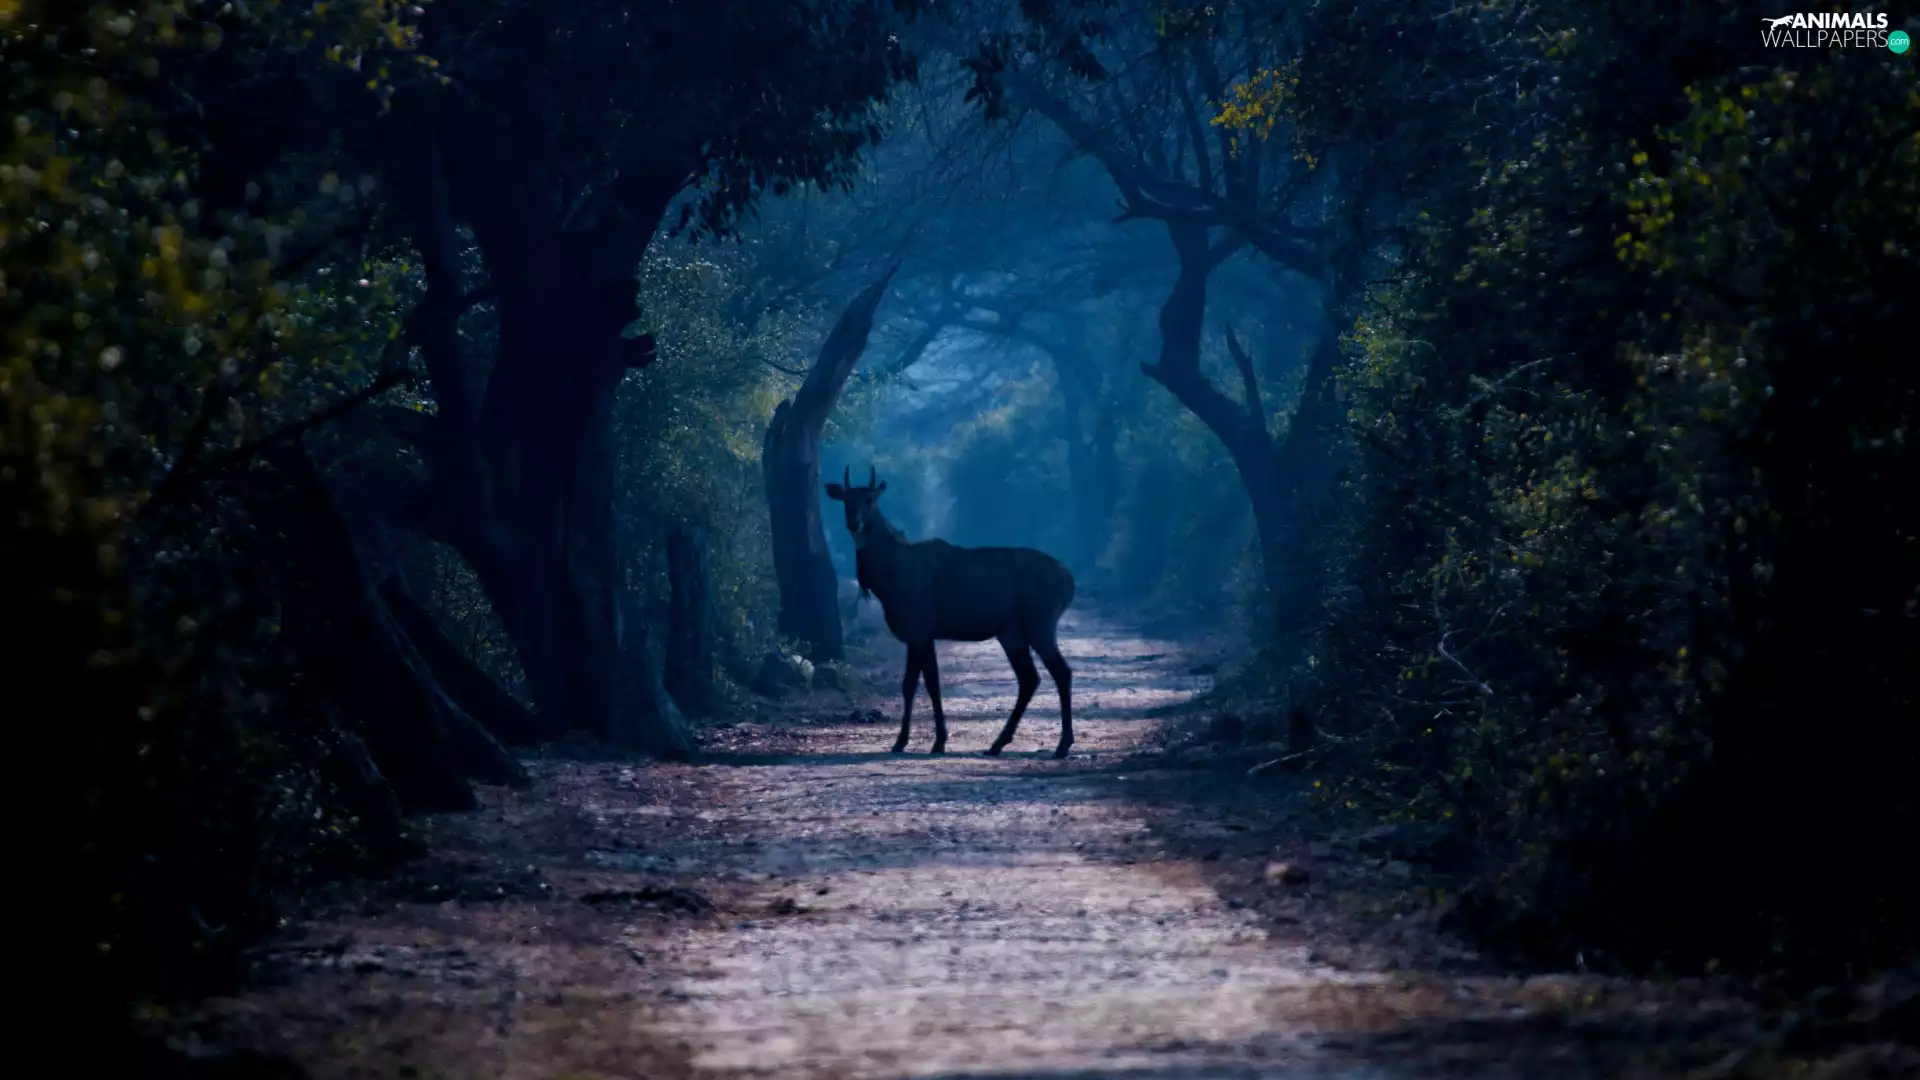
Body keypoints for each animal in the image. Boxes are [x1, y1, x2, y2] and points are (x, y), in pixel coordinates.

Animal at [824, 466, 1079, 758]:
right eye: (846, 500)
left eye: (869, 500)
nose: (854, 523)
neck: (889, 579)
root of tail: (1069, 580)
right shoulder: (917, 634)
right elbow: (911, 684)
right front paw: (905, 741)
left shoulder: (921, 629)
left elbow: (929, 684)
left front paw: (935, 742)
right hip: (1012, 634)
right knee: (1030, 678)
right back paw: (997, 743)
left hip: (1040, 624)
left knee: (1061, 672)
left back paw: (1062, 744)